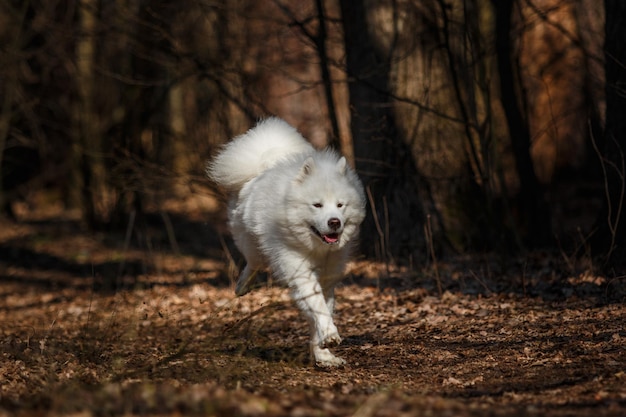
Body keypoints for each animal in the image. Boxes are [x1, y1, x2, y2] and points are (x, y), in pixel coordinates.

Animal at [208, 118, 366, 368]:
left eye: (340, 205)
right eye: (317, 205)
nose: (334, 222)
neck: (316, 248)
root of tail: (264, 166)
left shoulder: (328, 278)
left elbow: (321, 312)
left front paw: (323, 354)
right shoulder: (299, 271)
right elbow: (318, 306)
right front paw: (330, 335)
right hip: (251, 243)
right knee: (254, 261)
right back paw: (242, 286)